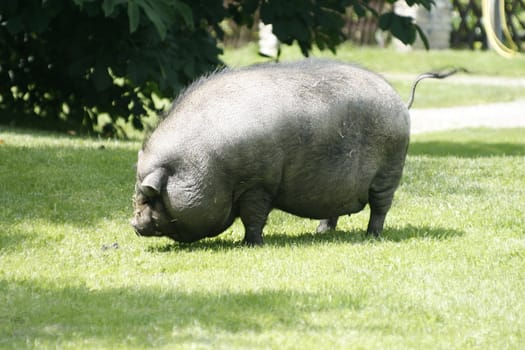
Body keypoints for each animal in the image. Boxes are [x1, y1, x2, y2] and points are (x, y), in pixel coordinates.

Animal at [129, 58, 448, 245]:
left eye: (150, 194)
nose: (133, 222)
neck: (210, 163)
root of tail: (400, 101)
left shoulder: (257, 184)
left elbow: (254, 217)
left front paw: (250, 244)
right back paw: (322, 233)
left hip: (389, 171)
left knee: (380, 208)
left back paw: (372, 236)